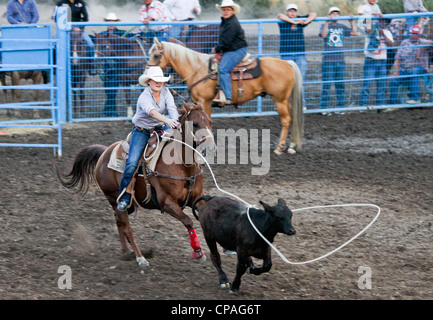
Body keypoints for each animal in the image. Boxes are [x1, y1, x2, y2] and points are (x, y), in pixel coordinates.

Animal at [55, 103, 214, 268]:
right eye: (195, 124)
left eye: (210, 122)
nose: (210, 148)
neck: (182, 165)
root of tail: (104, 153)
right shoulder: (167, 203)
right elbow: (188, 221)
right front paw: (198, 251)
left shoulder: (196, 198)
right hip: (115, 198)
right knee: (127, 228)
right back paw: (140, 258)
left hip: (125, 205)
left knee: (118, 221)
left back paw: (126, 251)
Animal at [147, 37, 302, 155]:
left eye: (156, 55)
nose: (146, 73)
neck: (197, 70)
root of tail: (287, 63)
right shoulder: (197, 103)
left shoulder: (206, 101)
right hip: (284, 100)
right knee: (293, 117)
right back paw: (292, 146)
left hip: (279, 99)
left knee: (286, 120)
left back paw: (280, 147)